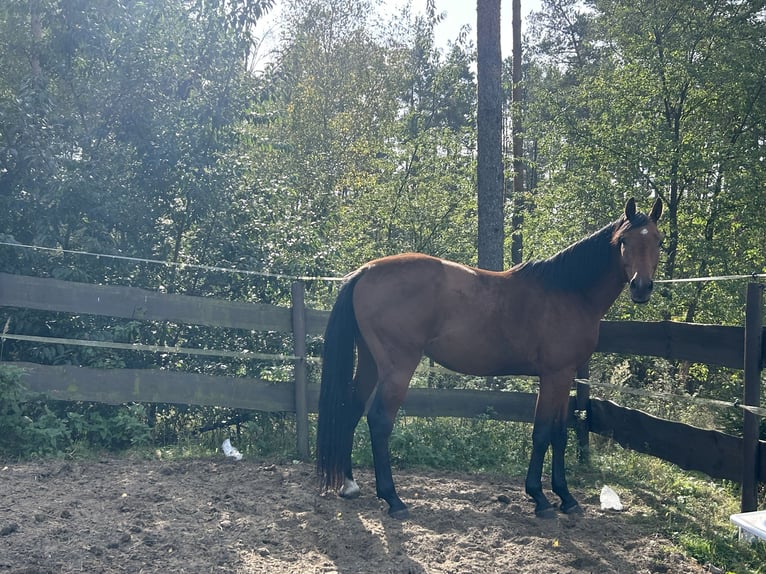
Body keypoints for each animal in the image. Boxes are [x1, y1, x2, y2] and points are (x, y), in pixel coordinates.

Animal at [316, 197, 663, 519]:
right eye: (624, 241)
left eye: (658, 241)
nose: (641, 287)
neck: (569, 291)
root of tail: (366, 271)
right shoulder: (556, 375)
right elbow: (543, 433)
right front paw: (541, 498)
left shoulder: (563, 377)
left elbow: (559, 434)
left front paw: (565, 497)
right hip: (398, 368)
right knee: (379, 420)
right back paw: (393, 499)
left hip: (370, 363)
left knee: (352, 410)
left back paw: (350, 485)